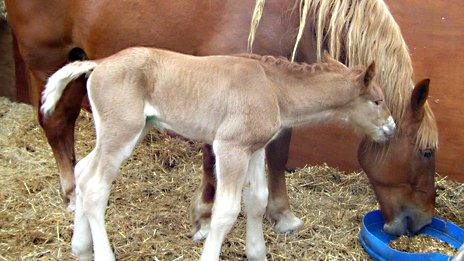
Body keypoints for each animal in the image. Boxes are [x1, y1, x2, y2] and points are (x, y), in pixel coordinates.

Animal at [5, 0, 436, 236]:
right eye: (427, 153)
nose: (421, 223)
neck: (292, 11)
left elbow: (278, 151)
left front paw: (281, 213)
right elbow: (215, 160)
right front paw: (205, 216)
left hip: (78, 62)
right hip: (47, 60)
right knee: (56, 125)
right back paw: (70, 195)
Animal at [40, 47, 396, 260]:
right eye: (377, 100)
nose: (391, 128)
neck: (273, 88)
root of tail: (98, 63)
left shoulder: (254, 148)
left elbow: (257, 199)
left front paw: (257, 253)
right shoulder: (230, 146)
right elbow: (226, 211)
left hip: (126, 131)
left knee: (83, 172)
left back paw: (80, 248)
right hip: (121, 132)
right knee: (96, 185)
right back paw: (101, 253)